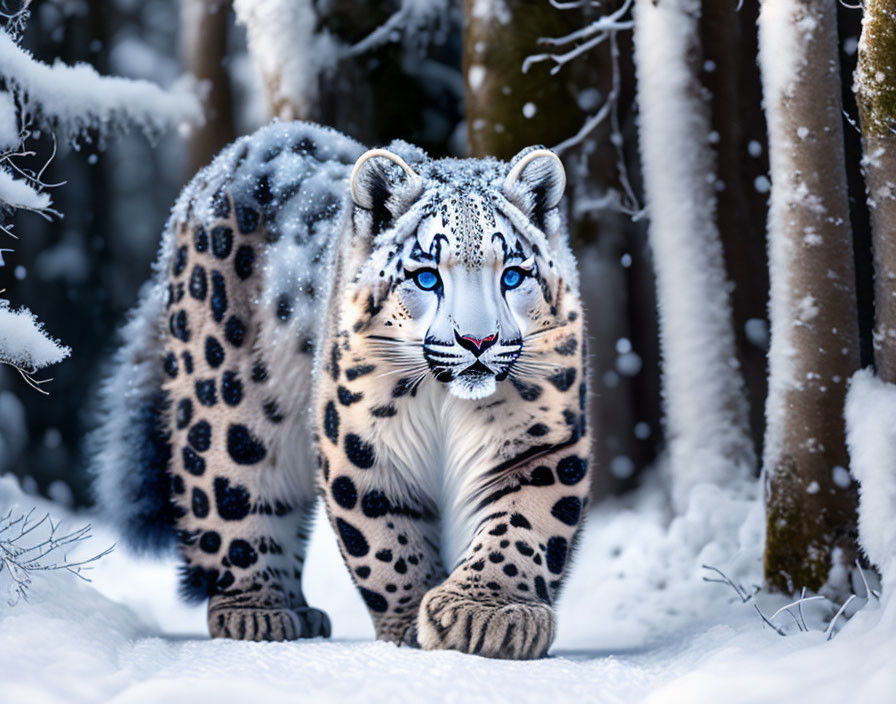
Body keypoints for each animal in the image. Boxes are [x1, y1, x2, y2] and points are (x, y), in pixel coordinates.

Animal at [91, 122, 592, 660]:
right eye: (426, 276)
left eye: (513, 273)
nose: (478, 341)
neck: (445, 405)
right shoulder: (363, 441)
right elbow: (387, 541)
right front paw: (412, 629)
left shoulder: (540, 434)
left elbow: (524, 524)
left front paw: (485, 615)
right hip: (229, 407)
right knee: (233, 493)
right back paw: (263, 613)